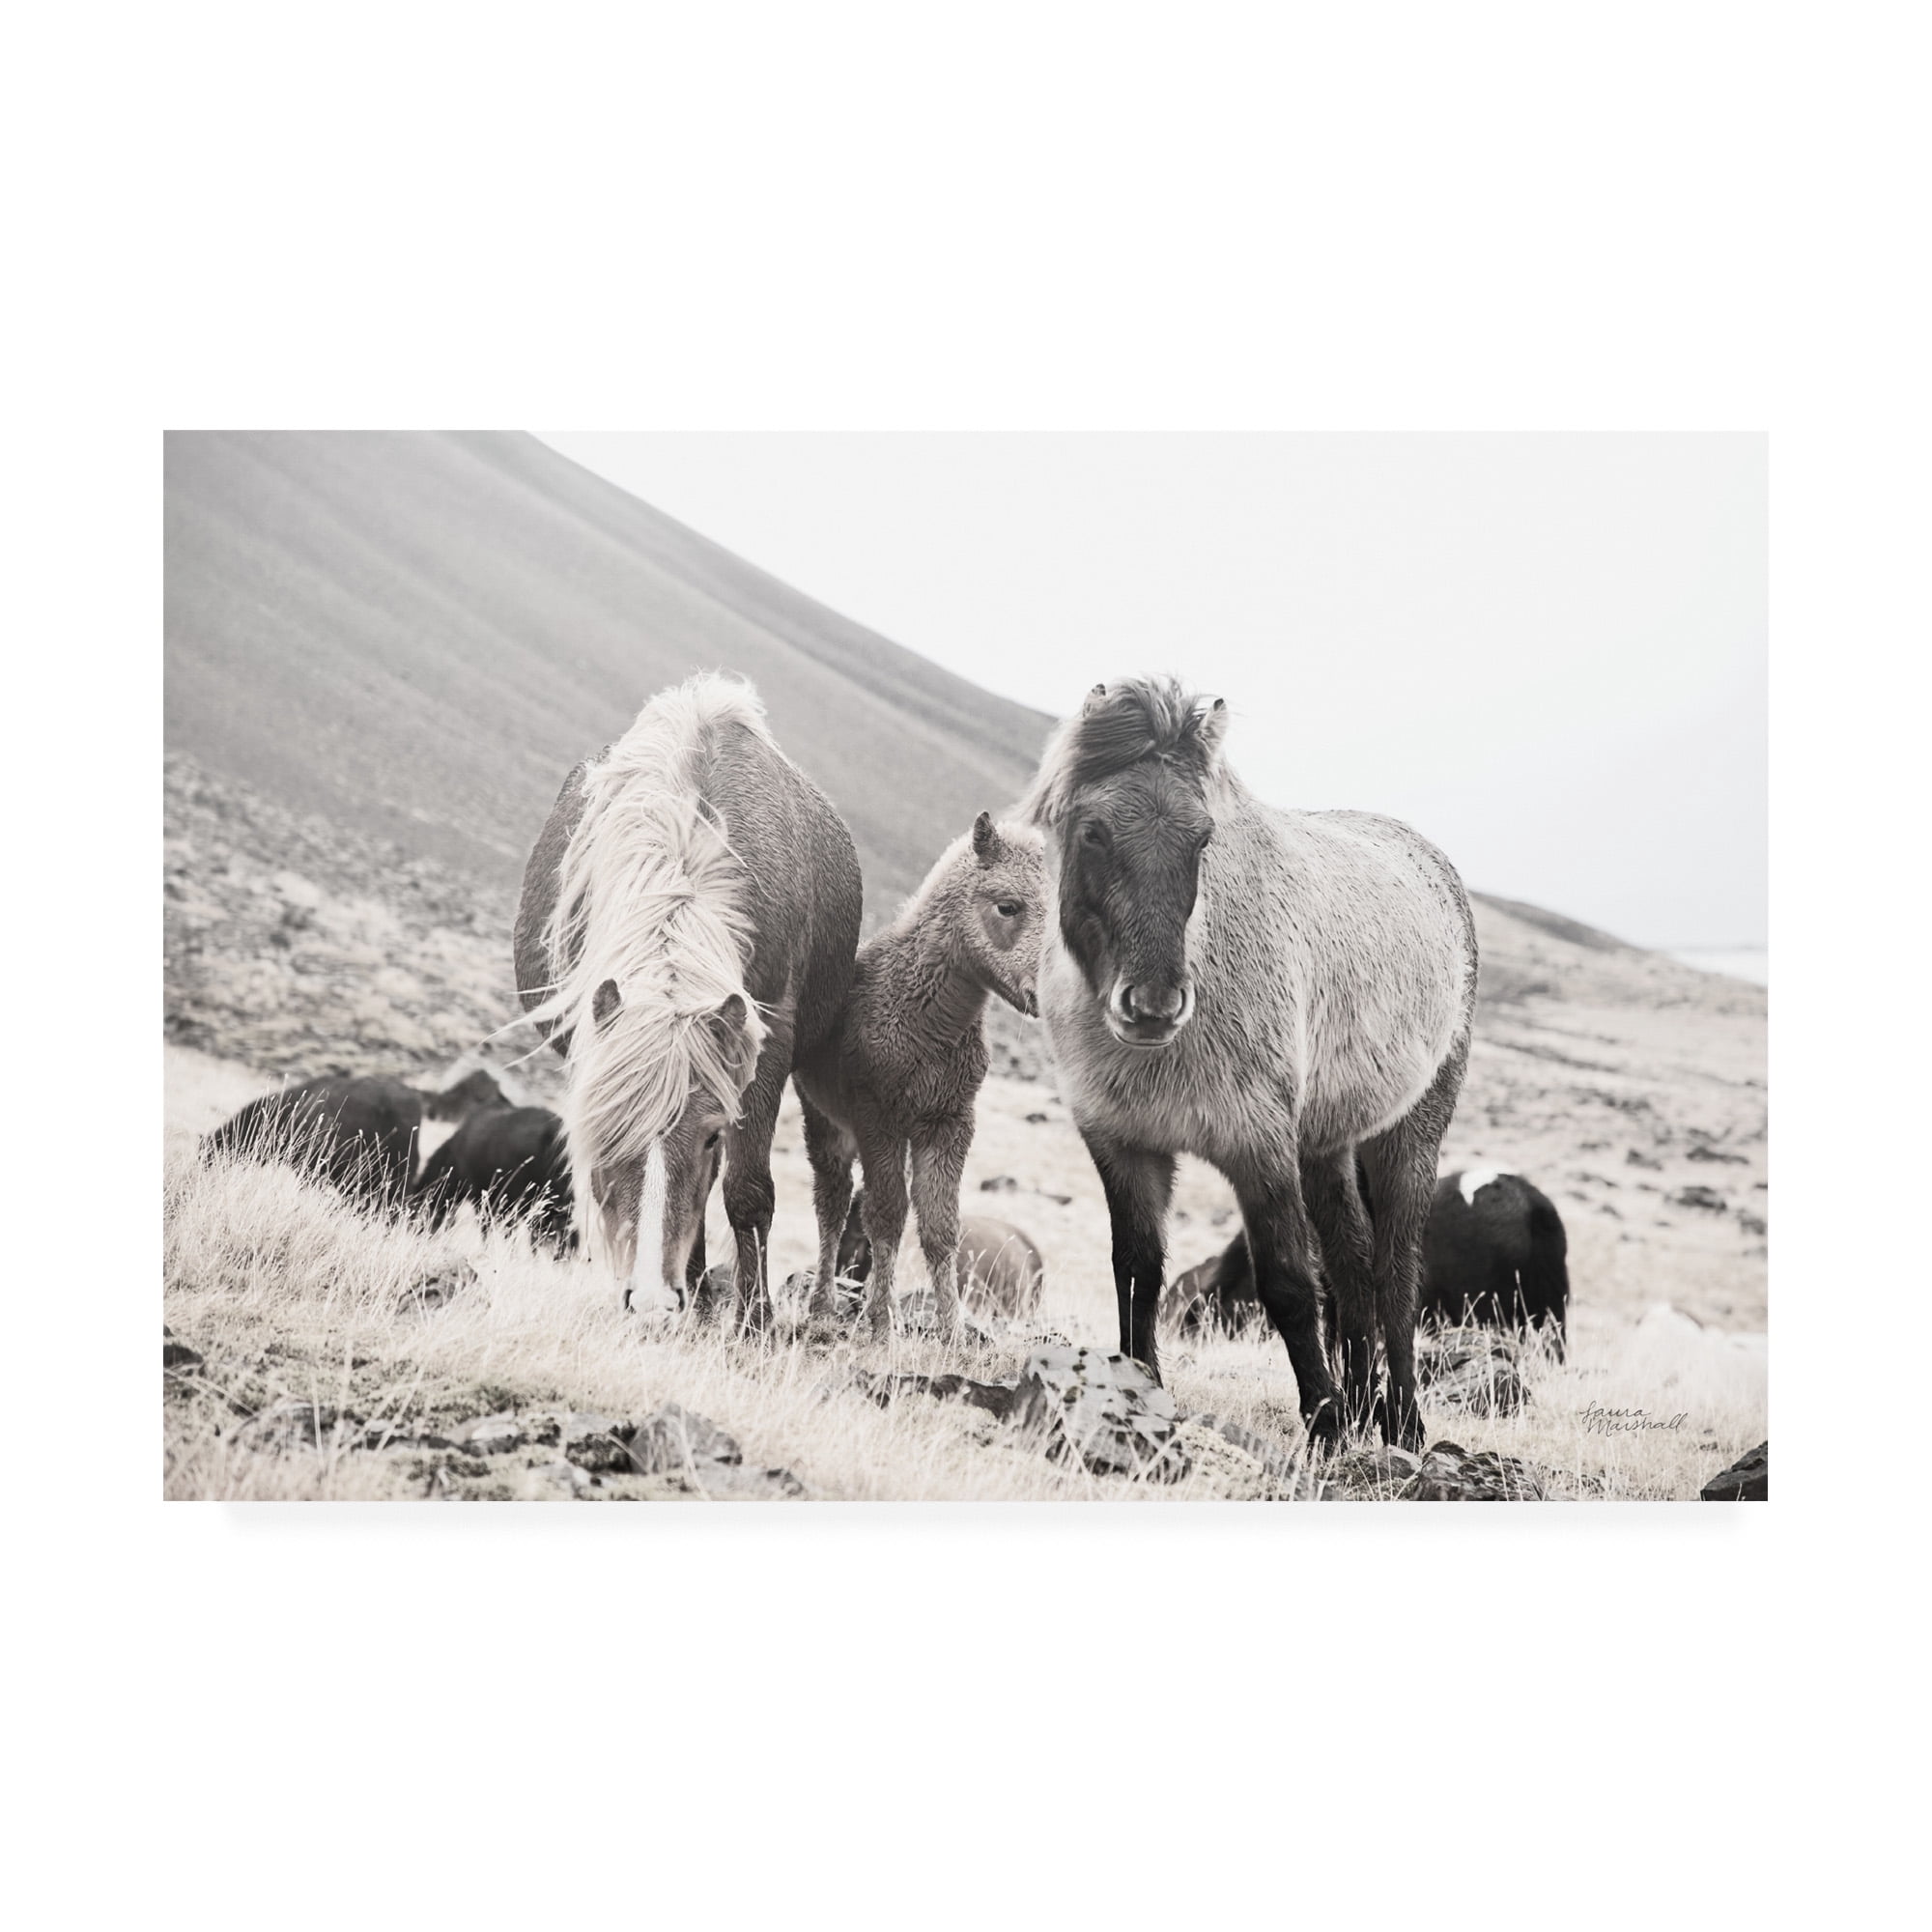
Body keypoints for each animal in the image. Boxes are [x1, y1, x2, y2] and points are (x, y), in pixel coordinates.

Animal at [514, 674, 861, 1326]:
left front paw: (755, 1320)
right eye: (606, 1130)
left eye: (708, 1135)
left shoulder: (767, 1045)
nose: (650, 1301)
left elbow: (746, 1190)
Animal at [1025, 678, 1476, 1450]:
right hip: (1326, 1143)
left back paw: (1403, 1423)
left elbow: (1290, 1285)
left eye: (1202, 837)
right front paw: (1139, 1391)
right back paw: (1367, 1406)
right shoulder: (1124, 1145)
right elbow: (1135, 1271)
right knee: (1354, 1261)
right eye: (1094, 832)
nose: (1154, 1006)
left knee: (1395, 1270)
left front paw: (1324, 1426)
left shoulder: (1257, 1146)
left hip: (1408, 1136)